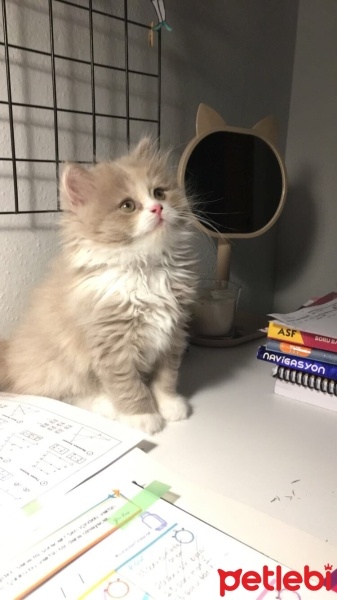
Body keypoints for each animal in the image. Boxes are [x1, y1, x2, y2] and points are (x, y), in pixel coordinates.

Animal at [0, 139, 194, 434]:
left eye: (159, 193)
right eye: (127, 206)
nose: (158, 209)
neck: (145, 269)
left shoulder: (173, 334)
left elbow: (166, 377)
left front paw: (169, 404)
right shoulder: (112, 344)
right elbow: (128, 385)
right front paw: (142, 416)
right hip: (57, 367)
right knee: (64, 394)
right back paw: (106, 405)